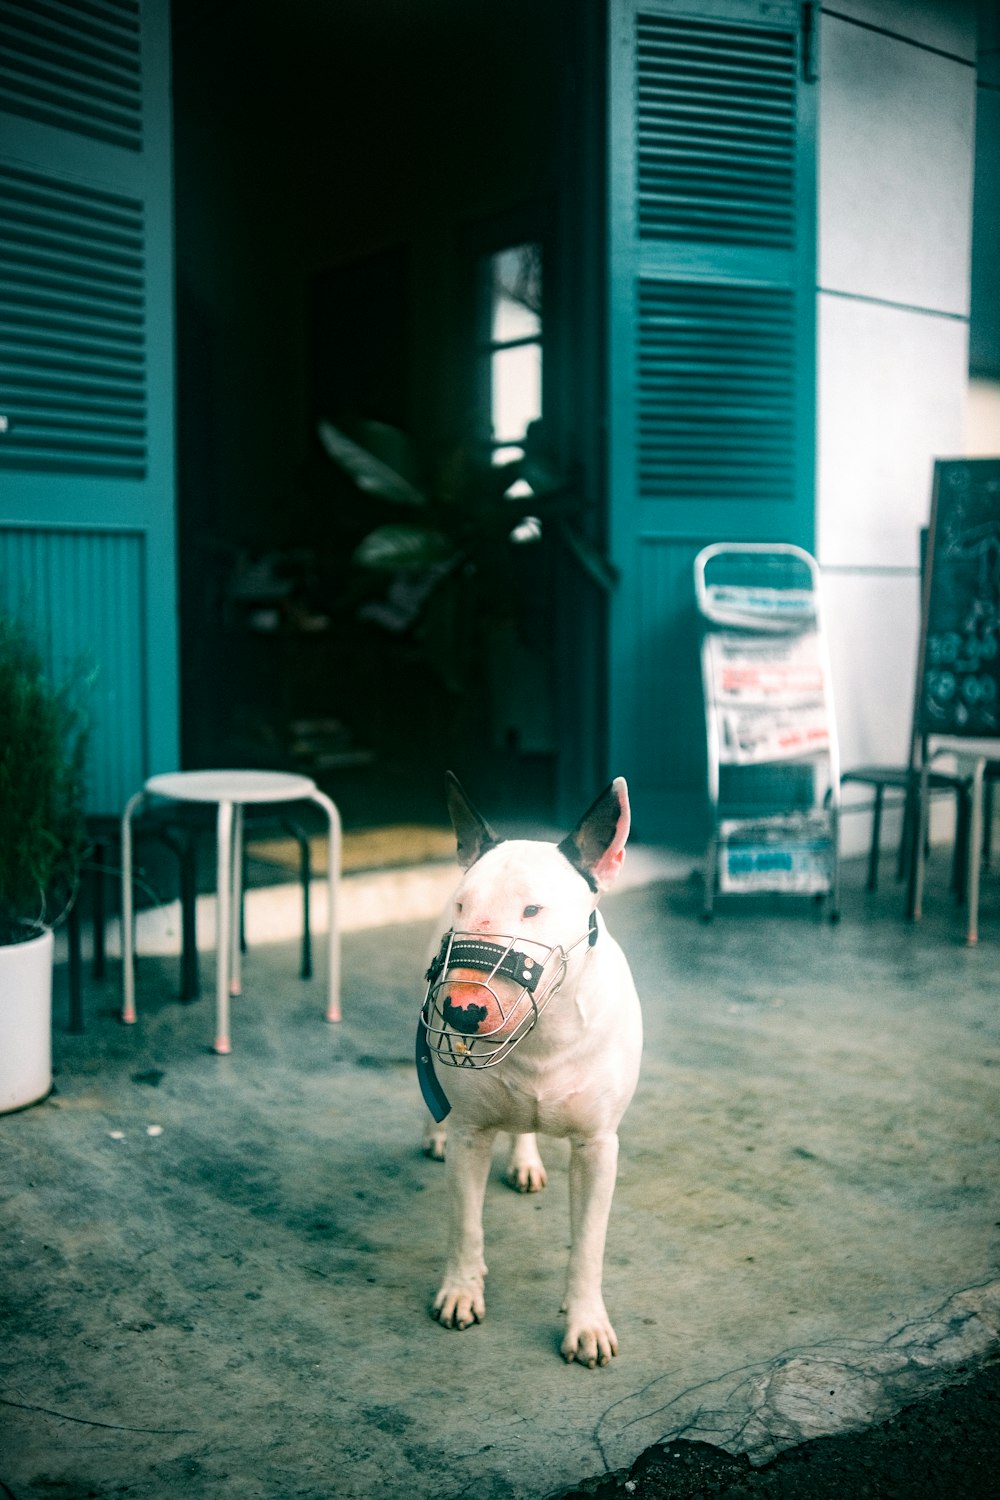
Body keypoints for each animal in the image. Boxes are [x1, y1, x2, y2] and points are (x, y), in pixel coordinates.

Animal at [413, 774, 641, 1374]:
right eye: (463, 905)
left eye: (533, 909)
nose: (462, 1011)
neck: (543, 1037)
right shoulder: (472, 1134)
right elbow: (465, 1225)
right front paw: (461, 1292)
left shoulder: (598, 1146)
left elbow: (588, 1246)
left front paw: (586, 1325)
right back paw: (434, 1135)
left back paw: (525, 1159)